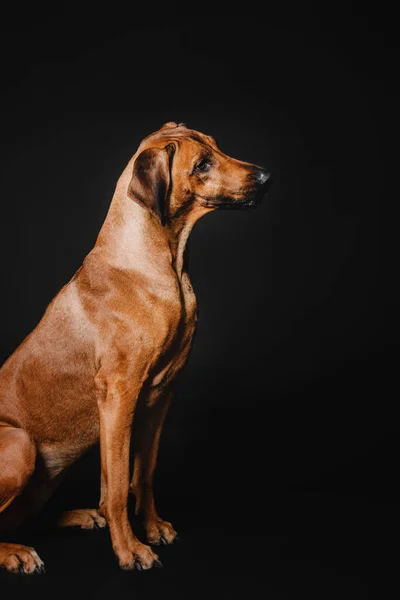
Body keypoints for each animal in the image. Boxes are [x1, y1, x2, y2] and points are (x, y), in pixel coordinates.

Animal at [0, 120, 272, 572]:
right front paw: (129, 549)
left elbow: (141, 473)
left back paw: (78, 516)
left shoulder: (160, 394)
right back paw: (16, 552)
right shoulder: (118, 393)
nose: (266, 177)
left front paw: (152, 527)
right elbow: (115, 485)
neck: (160, 263)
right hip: (19, 444)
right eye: (202, 163)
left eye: (216, 147)